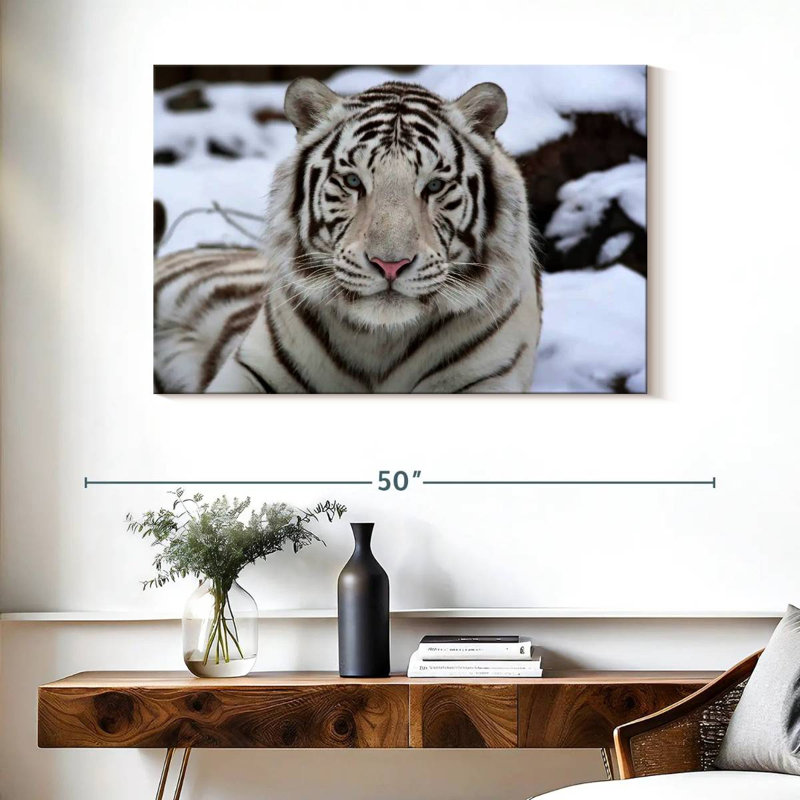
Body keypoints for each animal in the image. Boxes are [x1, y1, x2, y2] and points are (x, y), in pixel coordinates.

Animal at [154, 78, 542, 393]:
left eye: (434, 186)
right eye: (354, 181)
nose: (390, 264)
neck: (380, 341)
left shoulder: (485, 380)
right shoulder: (251, 372)